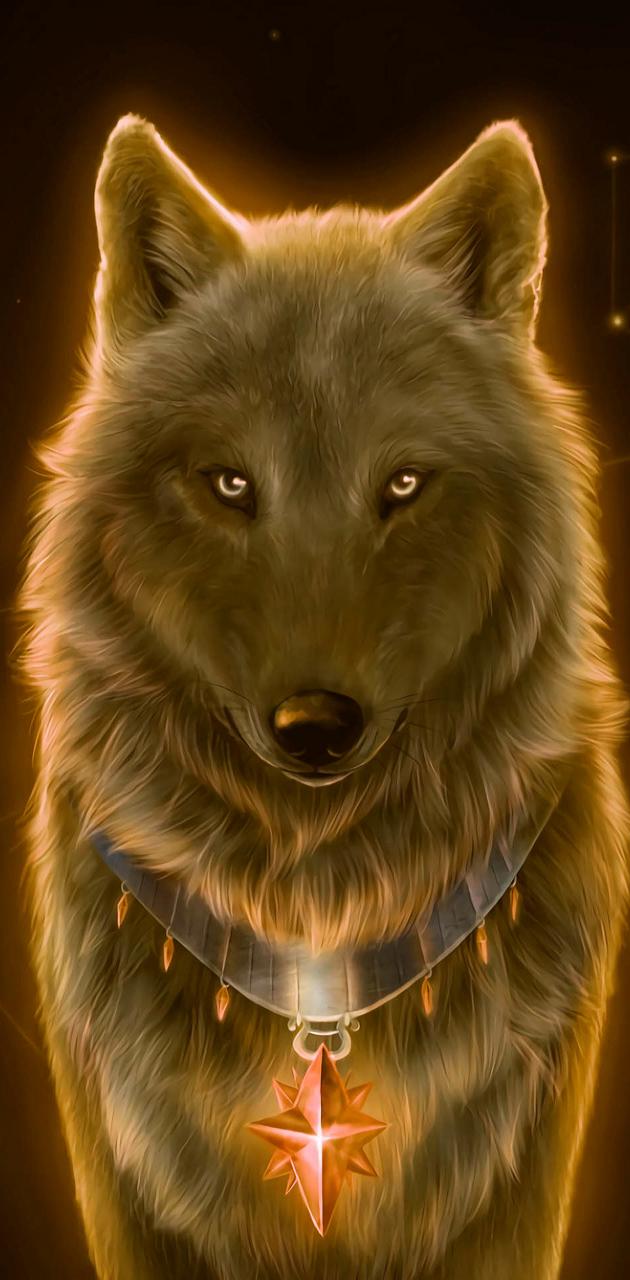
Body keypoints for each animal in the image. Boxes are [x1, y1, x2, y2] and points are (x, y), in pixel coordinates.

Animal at [18, 112, 629, 1280]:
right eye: (229, 484)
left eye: (403, 483)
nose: (314, 729)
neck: (317, 947)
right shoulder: (124, 1179)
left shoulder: (518, 1185)